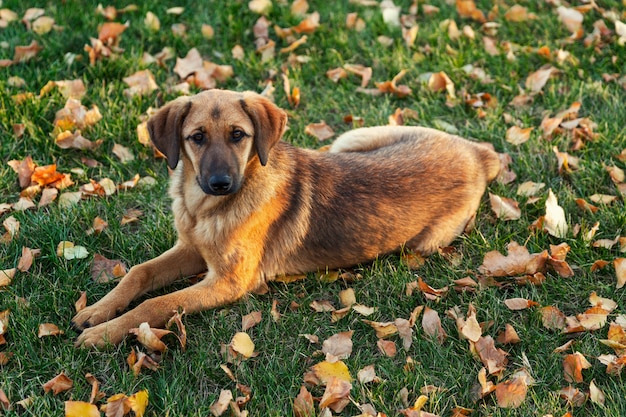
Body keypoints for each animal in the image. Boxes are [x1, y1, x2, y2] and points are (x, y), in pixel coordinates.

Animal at [73, 88, 500, 348]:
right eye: (196, 137)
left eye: (238, 135)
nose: (220, 183)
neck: (203, 210)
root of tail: (477, 152)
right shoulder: (192, 249)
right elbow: (138, 273)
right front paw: (97, 312)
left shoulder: (229, 282)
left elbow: (156, 305)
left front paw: (104, 334)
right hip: (350, 139)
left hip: (426, 239)